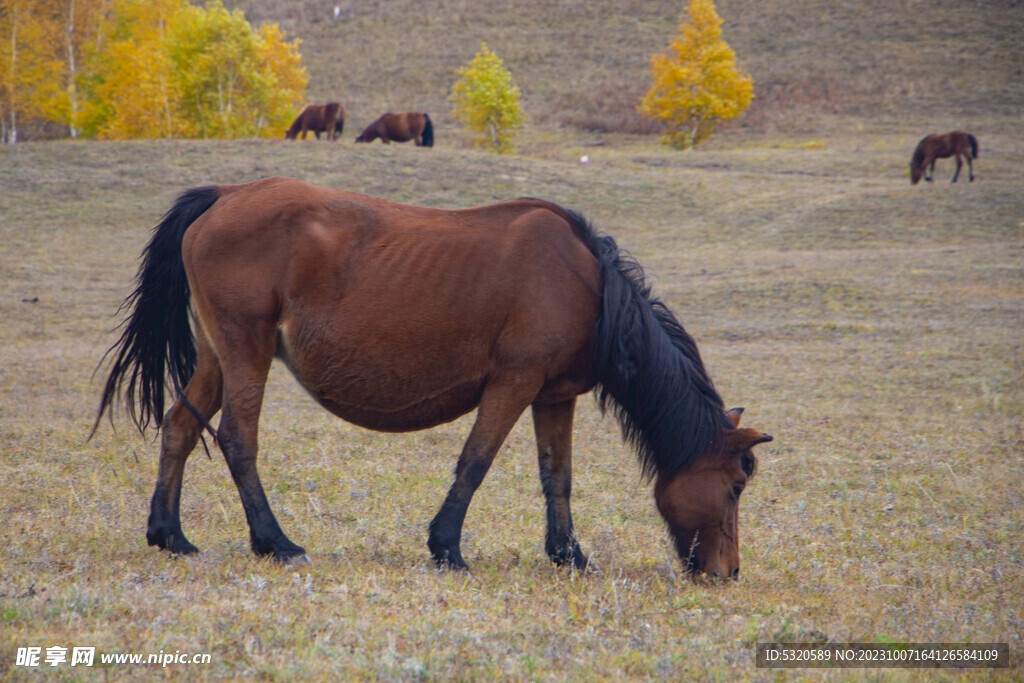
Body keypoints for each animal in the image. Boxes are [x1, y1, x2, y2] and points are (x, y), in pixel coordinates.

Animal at [94, 178, 770, 581]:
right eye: (736, 487)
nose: (728, 572)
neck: (590, 284)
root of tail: (227, 194)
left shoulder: (553, 396)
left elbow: (558, 477)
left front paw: (567, 555)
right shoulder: (513, 383)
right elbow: (475, 462)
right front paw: (447, 547)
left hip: (217, 358)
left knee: (180, 427)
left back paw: (170, 534)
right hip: (246, 353)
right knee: (238, 439)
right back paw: (273, 540)